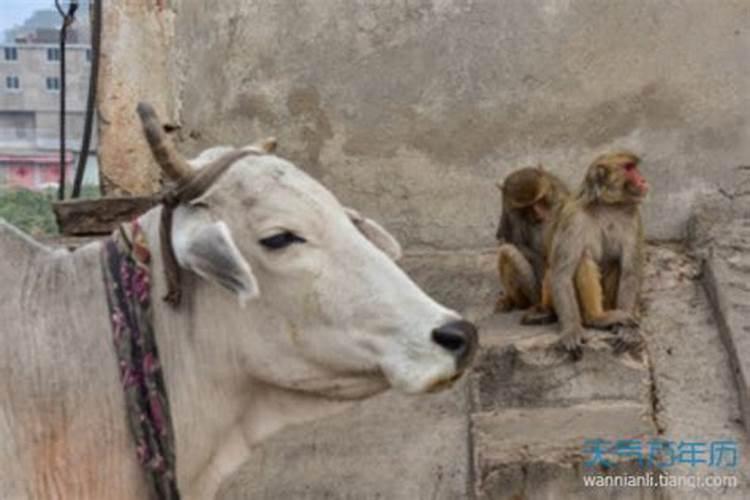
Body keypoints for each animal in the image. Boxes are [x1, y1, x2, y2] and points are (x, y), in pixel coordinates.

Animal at [496, 168, 572, 316]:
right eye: (527, 207)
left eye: (539, 200)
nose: (538, 212)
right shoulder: (509, 211)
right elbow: (513, 242)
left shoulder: (560, 197)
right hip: (535, 295)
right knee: (507, 251)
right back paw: (517, 302)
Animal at [548, 152, 652, 360]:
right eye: (629, 168)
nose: (643, 180)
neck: (607, 205)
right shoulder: (573, 217)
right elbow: (562, 275)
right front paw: (571, 329)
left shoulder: (633, 216)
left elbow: (630, 272)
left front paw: (628, 331)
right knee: (583, 258)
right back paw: (596, 317)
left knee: (615, 262)